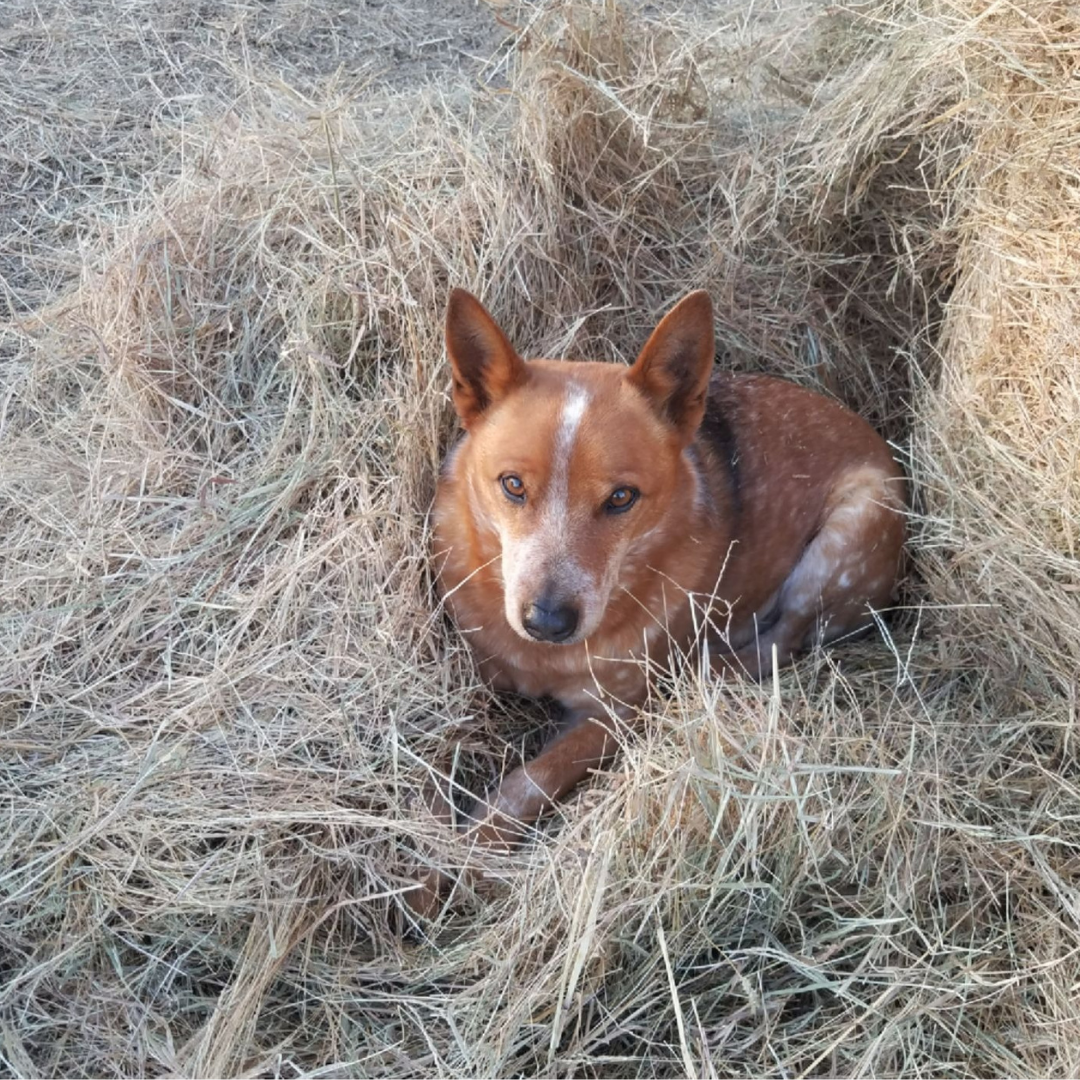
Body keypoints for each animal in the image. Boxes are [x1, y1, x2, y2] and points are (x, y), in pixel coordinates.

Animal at [408, 287, 907, 911]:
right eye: (513, 485)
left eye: (622, 497)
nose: (547, 619)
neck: (544, 661)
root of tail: (874, 436)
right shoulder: (471, 659)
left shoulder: (613, 716)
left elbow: (534, 779)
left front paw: (466, 857)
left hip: (849, 534)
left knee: (780, 642)